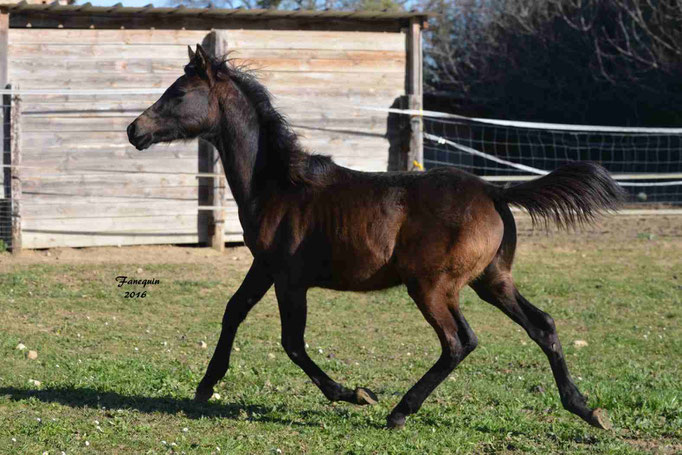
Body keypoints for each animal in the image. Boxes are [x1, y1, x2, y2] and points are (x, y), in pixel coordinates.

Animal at [127, 46, 620, 432]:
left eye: (178, 93)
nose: (135, 130)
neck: (278, 184)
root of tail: (494, 191)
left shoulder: (289, 278)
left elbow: (292, 343)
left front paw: (355, 394)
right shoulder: (264, 266)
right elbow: (234, 311)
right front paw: (205, 386)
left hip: (432, 287)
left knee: (459, 342)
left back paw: (399, 411)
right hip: (492, 281)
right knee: (543, 325)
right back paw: (587, 410)